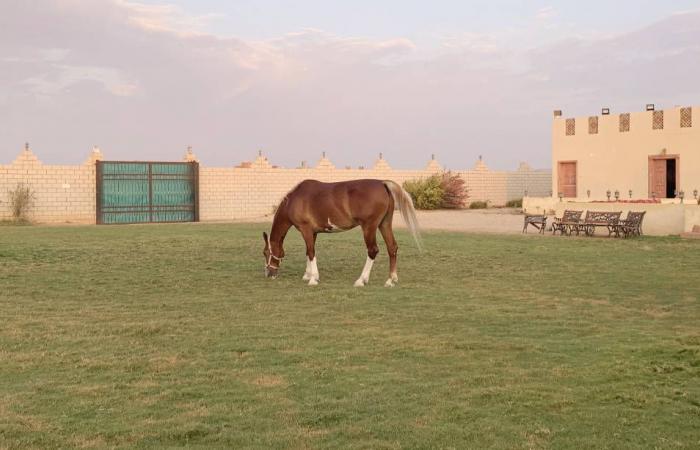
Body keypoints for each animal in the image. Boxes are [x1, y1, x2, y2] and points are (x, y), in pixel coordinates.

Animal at [262, 178, 416, 286]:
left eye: (266, 253)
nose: (268, 273)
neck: (295, 199)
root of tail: (382, 184)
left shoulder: (305, 230)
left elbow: (311, 252)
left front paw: (313, 279)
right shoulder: (313, 232)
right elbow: (308, 252)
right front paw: (307, 275)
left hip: (369, 227)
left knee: (373, 250)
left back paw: (361, 280)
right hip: (384, 224)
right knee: (392, 248)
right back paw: (391, 280)